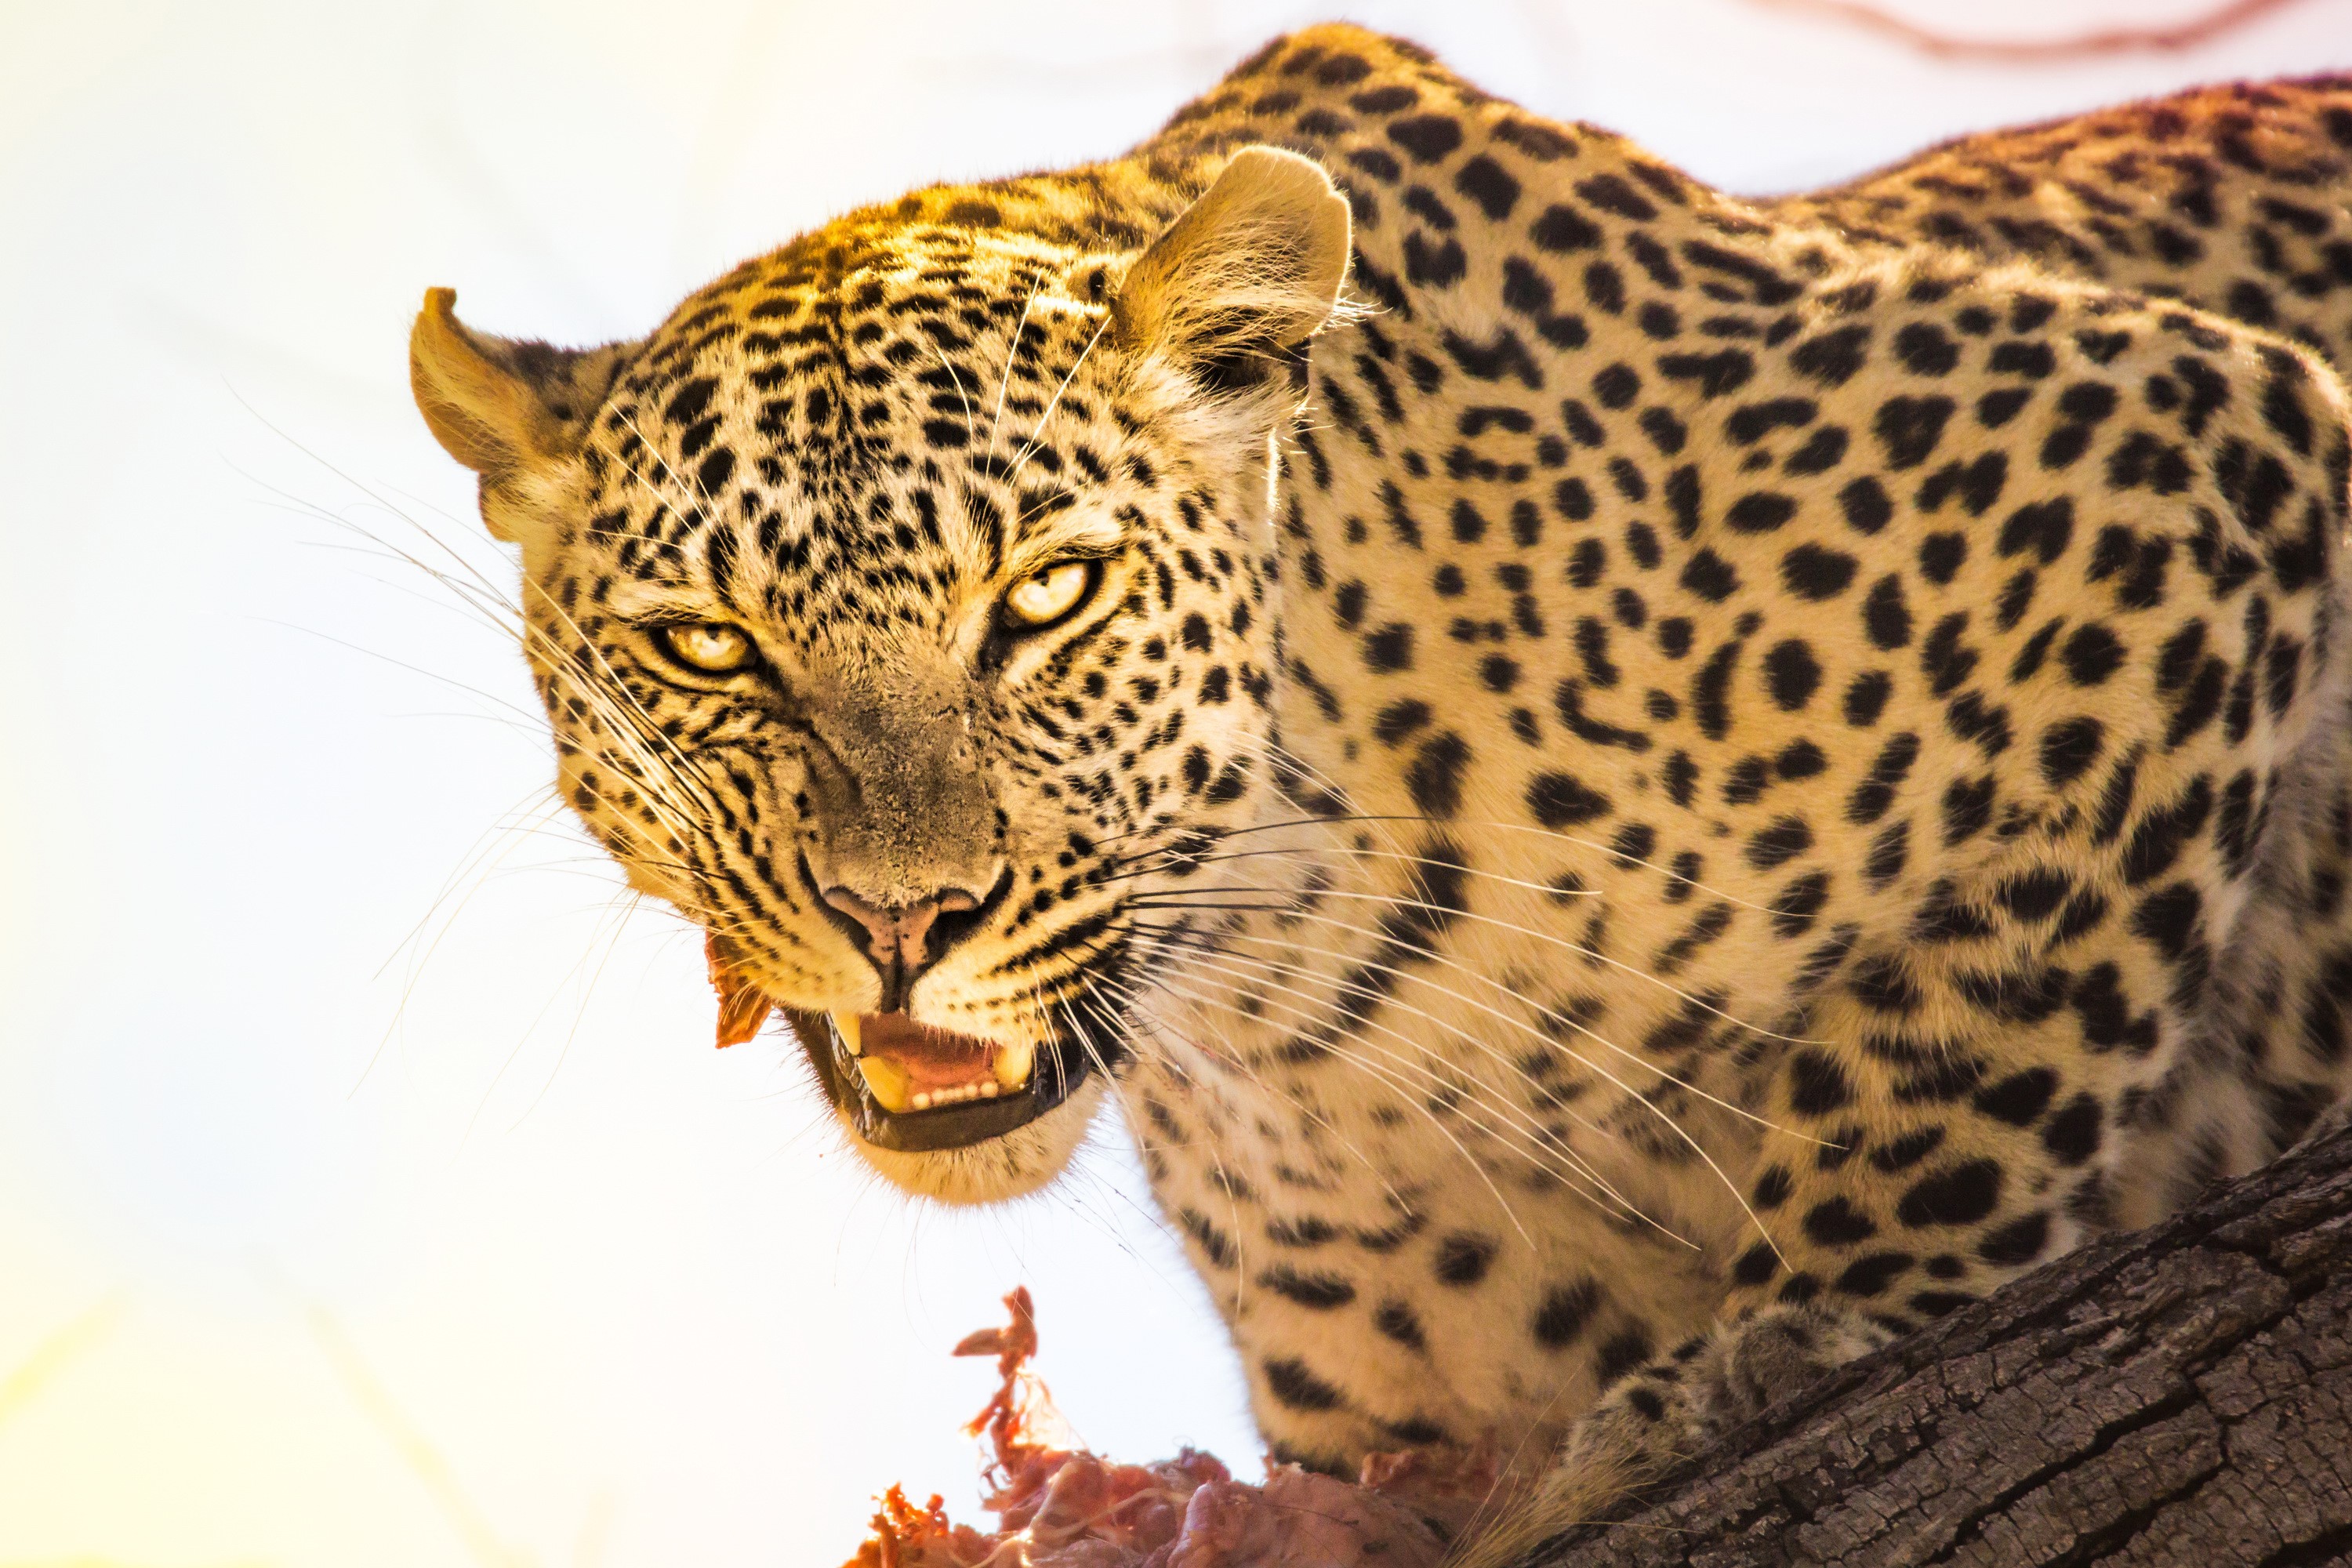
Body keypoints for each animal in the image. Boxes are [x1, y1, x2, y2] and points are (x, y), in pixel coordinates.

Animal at [406, 25, 2352, 1561]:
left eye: (1045, 595)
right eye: (708, 645)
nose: (903, 919)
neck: (1289, 1000)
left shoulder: (2183, 459)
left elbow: (1969, 1042)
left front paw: (1790, 1335)